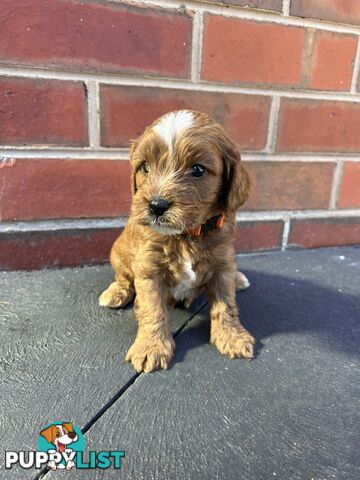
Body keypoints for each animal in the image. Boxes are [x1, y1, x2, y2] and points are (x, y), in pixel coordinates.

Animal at [100, 110, 255, 374]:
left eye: (198, 170)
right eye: (144, 166)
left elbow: (226, 304)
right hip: (118, 252)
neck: (186, 235)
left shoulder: (223, 264)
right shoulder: (148, 268)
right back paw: (116, 293)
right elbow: (152, 307)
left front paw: (232, 337)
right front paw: (151, 347)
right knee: (124, 277)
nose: (156, 205)